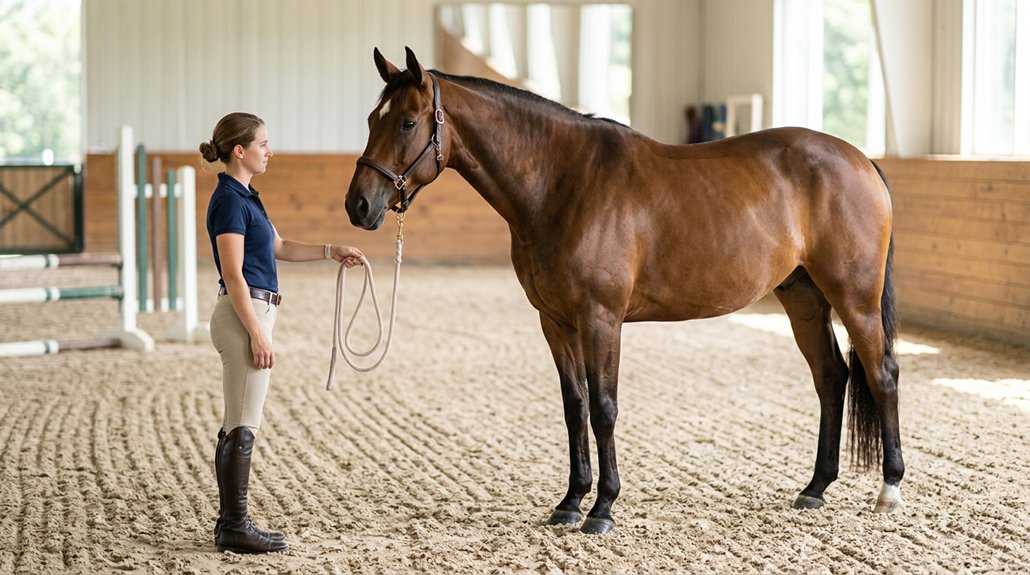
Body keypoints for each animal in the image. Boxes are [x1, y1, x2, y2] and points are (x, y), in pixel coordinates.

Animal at [345, 47, 904, 535]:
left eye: (407, 122)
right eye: (372, 119)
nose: (358, 205)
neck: (563, 182)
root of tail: (861, 160)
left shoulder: (601, 318)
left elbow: (604, 408)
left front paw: (603, 509)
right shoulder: (556, 322)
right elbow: (574, 408)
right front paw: (570, 502)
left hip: (854, 298)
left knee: (881, 374)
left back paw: (889, 491)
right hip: (803, 298)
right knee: (831, 378)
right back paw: (815, 488)